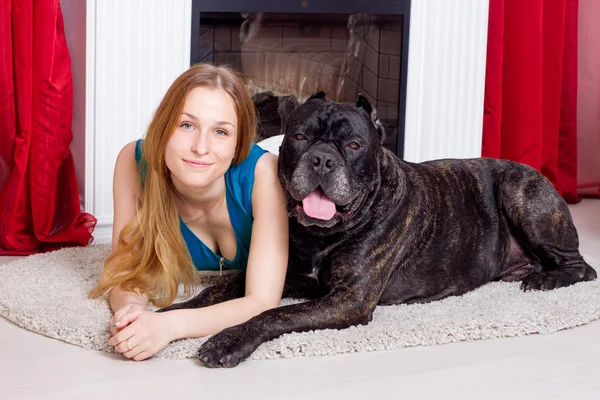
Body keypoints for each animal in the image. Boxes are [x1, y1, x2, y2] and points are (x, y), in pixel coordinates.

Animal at [157, 92, 596, 368]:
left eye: (353, 145)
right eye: (299, 137)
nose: (321, 159)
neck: (321, 235)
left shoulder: (348, 300)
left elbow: (273, 314)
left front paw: (227, 340)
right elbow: (211, 294)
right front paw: (169, 314)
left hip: (519, 192)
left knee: (583, 267)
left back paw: (545, 280)